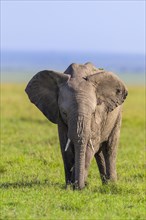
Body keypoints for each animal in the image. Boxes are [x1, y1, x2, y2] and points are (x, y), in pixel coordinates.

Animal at [25, 62, 128, 190]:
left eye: (93, 112)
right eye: (64, 113)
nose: (80, 186)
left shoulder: (98, 116)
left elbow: (89, 145)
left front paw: (78, 186)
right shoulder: (59, 118)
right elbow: (66, 146)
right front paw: (70, 186)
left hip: (117, 117)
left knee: (110, 148)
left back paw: (111, 185)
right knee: (99, 153)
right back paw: (106, 184)